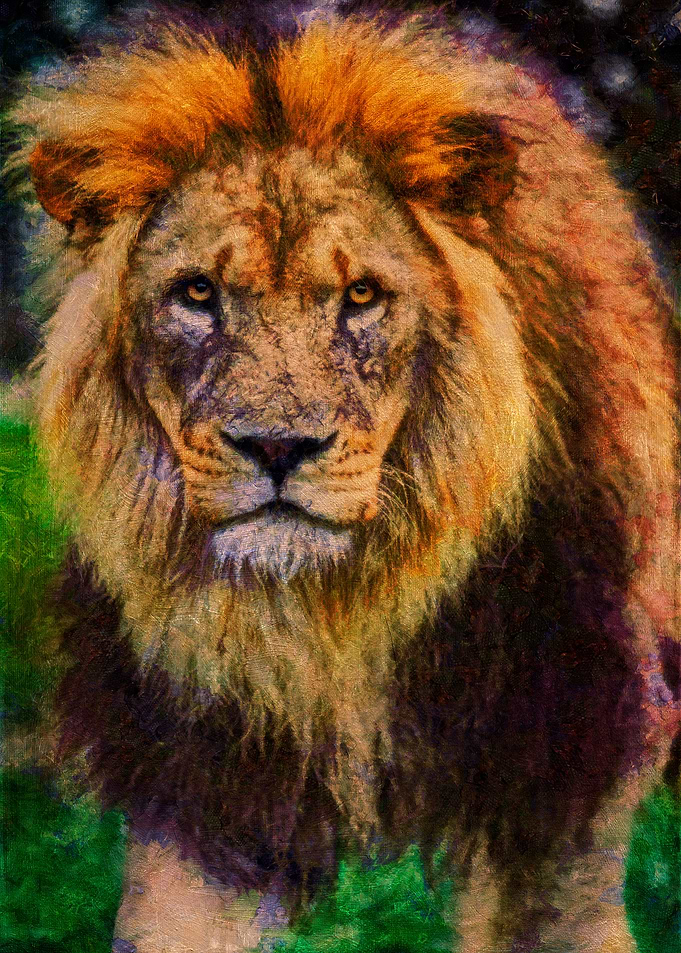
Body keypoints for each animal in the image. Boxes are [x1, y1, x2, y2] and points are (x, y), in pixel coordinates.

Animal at [8, 6, 681, 951]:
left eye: (361, 294)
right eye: (196, 292)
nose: (276, 447)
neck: (341, 613)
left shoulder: (561, 766)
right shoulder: (201, 786)